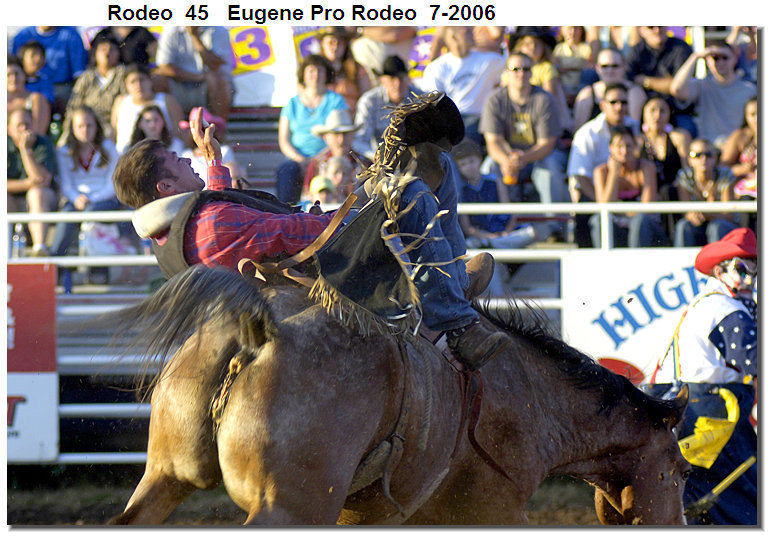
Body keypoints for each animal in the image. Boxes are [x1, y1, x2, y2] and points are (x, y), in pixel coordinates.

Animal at [104, 264, 690, 525]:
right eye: (683, 472)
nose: (681, 522)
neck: (533, 396)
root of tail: (258, 326)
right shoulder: (490, 509)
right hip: (289, 506)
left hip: (167, 475)